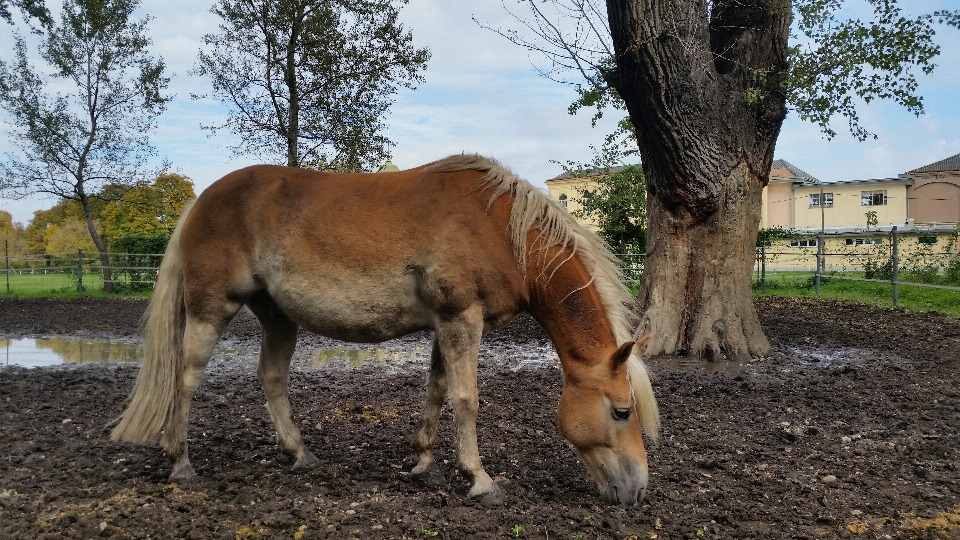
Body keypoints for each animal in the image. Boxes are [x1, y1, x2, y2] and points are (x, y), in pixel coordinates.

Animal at [109, 153, 656, 506]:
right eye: (621, 411)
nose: (638, 490)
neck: (501, 230)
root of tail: (201, 201)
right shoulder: (462, 319)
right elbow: (466, 399)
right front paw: (479, 480)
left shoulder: (446, 324)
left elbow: (437, 390)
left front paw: (422, 463)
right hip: (211, 309)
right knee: (185, 379)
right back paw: (180, 462)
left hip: (277, 317)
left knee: (271, 378)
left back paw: (299, 453)